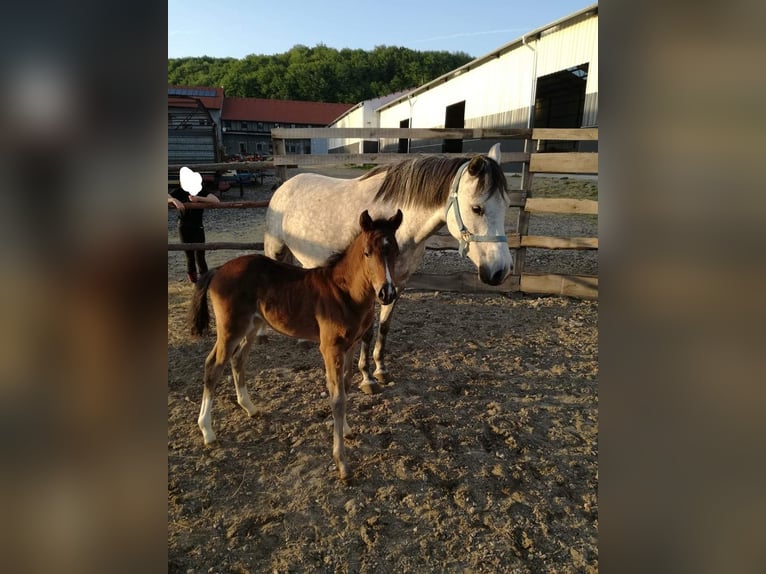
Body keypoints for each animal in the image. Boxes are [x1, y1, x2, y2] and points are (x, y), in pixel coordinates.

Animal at [189, 209, 403, 480]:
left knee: (238, 360)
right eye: (367, 252)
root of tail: (219, 269)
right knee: (213, 366)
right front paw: (342, 463)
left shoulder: (350, 345)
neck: (345, 292)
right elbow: (337, 399)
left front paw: (346, 430)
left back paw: (250, 408)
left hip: (252, 326)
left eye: (395, 251)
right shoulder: (330, 348)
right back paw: (207, 430)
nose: (387, 293)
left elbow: (346, 386)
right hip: (230, 329)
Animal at [264, 143, 512, 394]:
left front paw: (381, 370)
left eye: (507, 206)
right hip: (274, 249)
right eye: (477, 208)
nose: (500, 271)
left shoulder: (396, 286)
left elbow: (384, 327)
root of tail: (286, 185)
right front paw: (367, 379)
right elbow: (368, 332)